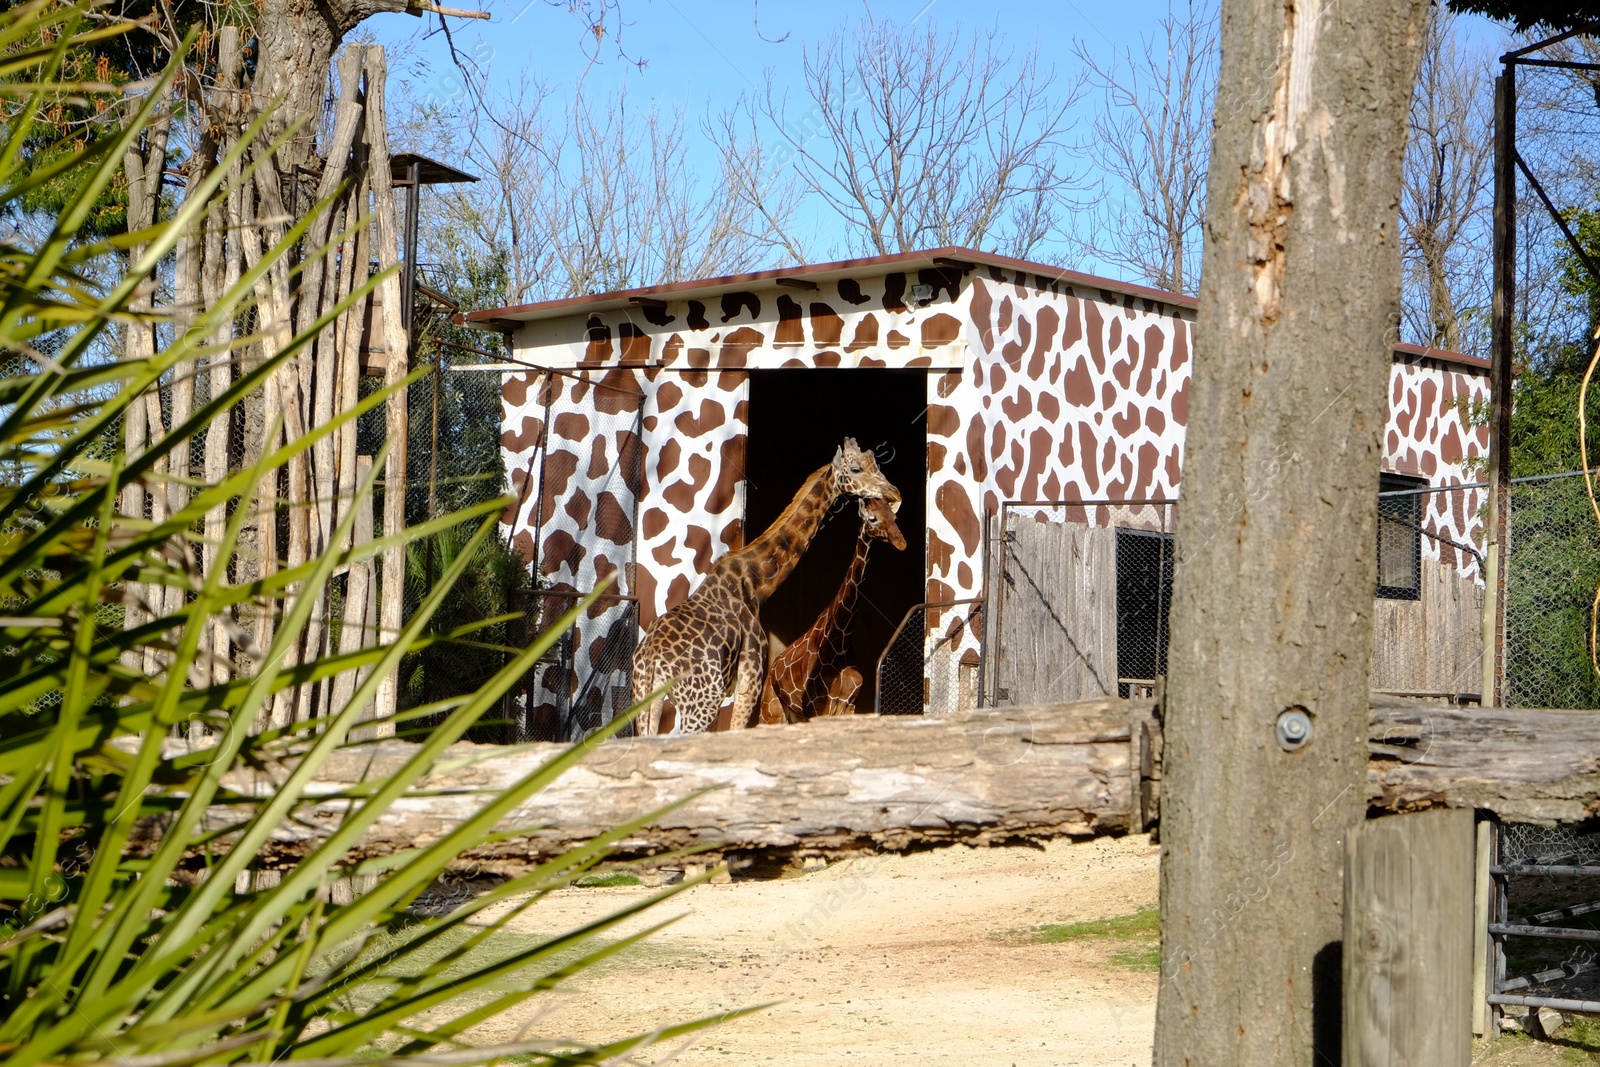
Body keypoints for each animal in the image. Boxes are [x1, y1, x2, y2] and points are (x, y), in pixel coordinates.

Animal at [758, 495, 908, 723]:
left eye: (894, 517)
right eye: (872, 518)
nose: (901, 542)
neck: (840, 643)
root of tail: (773, 668)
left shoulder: (849, 704)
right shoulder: (818, 707)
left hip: (795, 714)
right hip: (771, 709)